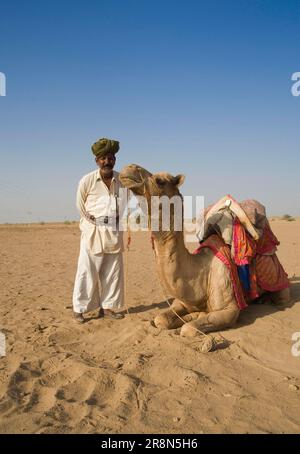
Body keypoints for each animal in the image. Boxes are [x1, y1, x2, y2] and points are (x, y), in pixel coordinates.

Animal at [118, 165, 290, 336]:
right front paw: (193, 315)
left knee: (282, 298)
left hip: (278, 279)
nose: (130, 168)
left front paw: (194, 318)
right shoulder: (181, 301)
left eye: (160, 181)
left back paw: (265, 299)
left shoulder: (230, 309)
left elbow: (189, 329)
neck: (200, 274)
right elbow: (161, 319)